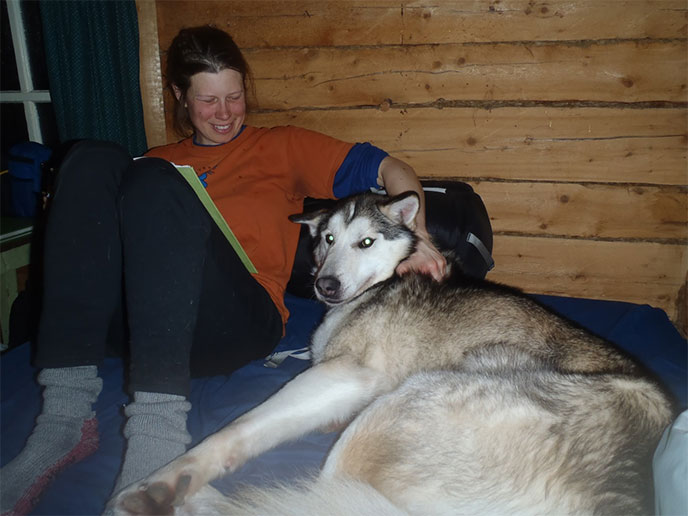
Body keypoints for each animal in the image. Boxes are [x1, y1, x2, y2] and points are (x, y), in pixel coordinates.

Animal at [113, 191, 672, 512]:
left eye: (365, 243)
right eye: (328, 238)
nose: (326, 286)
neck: (379, 284)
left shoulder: (347, 374)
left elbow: (237, 428)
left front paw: (168, 479)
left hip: (412, 399)